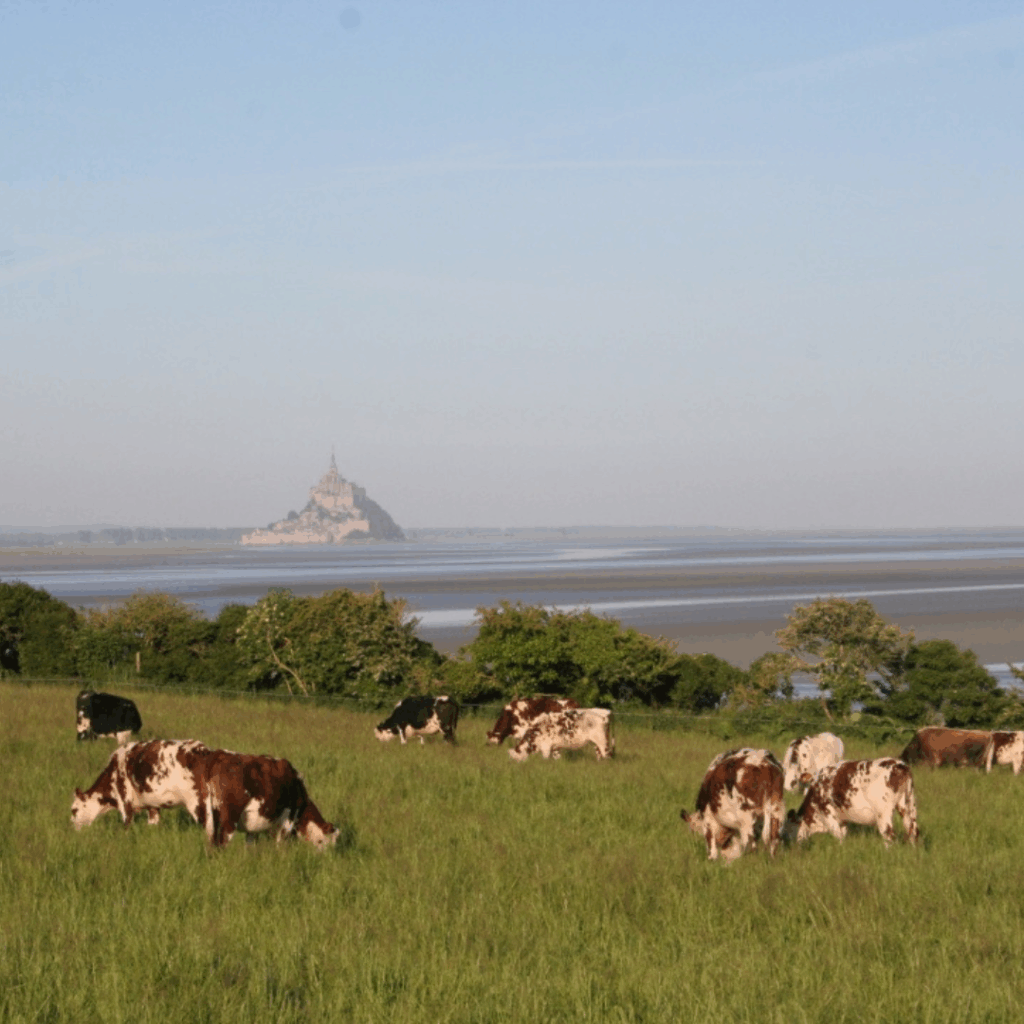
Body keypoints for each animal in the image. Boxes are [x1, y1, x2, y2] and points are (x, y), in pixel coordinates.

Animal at [71, 739, 211, 830]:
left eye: (74, 810)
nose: (71, 827)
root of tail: (200, 748)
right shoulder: (152, 805)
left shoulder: (124, 800)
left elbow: (127, 825)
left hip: (196, 802)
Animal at [200, 749, 338, 850]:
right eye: (322, 841)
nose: (325, 857)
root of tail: (220, 755)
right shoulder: (287, 821)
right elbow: (280, 845)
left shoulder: (253, 827)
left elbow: (250, 846)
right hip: (229, 818)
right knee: (222, 843)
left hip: (211, 816)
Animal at [784, 758, 919, 847]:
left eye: (787, 829)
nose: (793, 847)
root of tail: (898, 764)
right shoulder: (842, 819)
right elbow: (843, 834)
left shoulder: (828, 813)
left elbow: (838, 836)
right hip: (909, 806)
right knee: (913, 830)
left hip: (883, 814)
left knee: (889, 835)